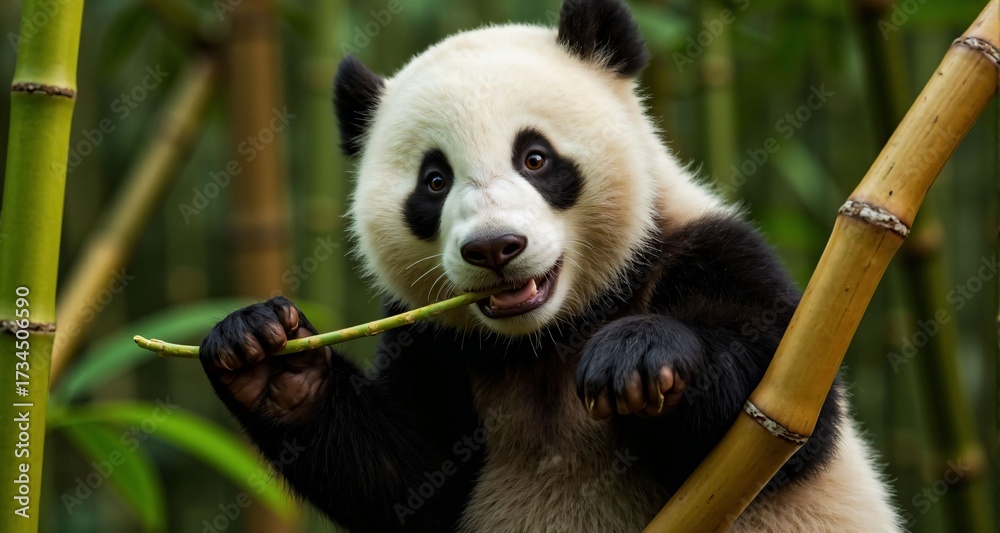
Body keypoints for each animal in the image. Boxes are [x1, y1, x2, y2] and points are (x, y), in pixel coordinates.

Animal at [199, 0, 903, 531]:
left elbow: (781, 419)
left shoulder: (705, 247)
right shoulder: (431, 335)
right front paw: (264, 352)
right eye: (434, 180)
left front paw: (638, 359)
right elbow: (400, 478)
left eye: (535, 158)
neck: (546, 339)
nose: (494, 248)